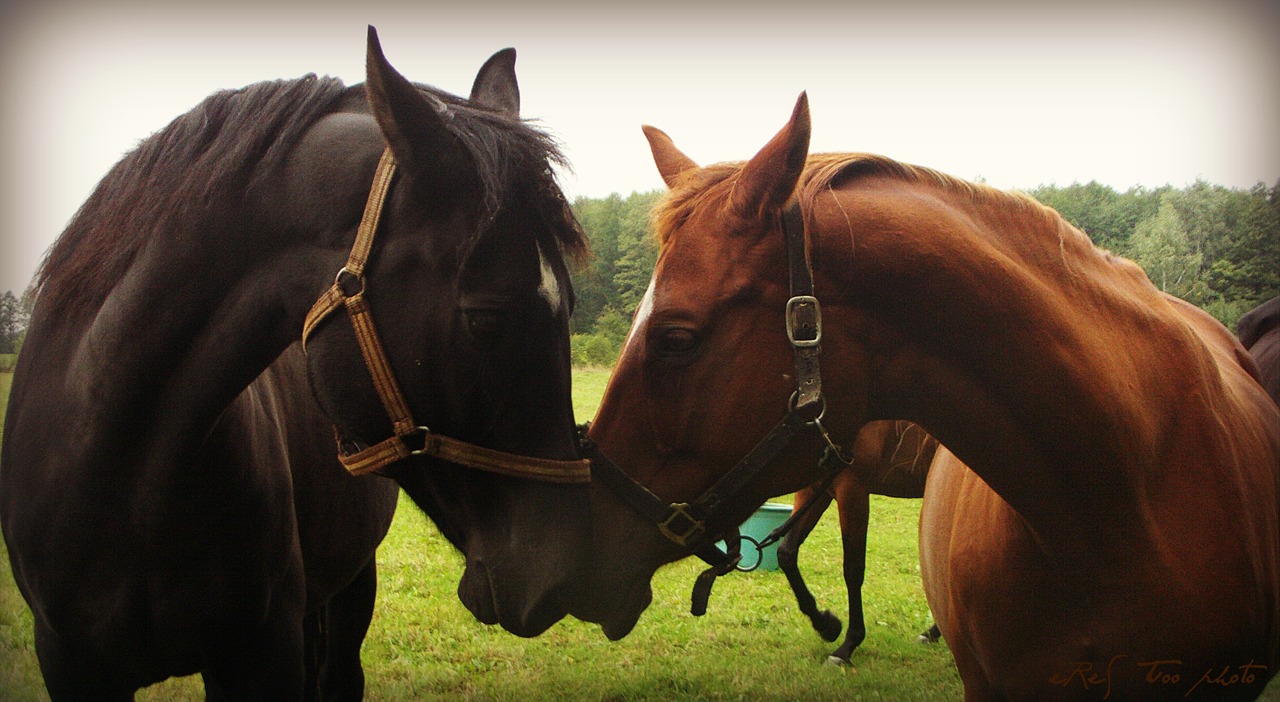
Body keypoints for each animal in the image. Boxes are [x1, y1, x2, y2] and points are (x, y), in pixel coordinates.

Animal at [581, 94, 1280, 702]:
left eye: (677, 338)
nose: (578, 547)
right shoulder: (819, 475)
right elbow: (786, 548)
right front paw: (830, 625)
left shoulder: (847, 482)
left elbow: (847, 563)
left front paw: (844, 640)